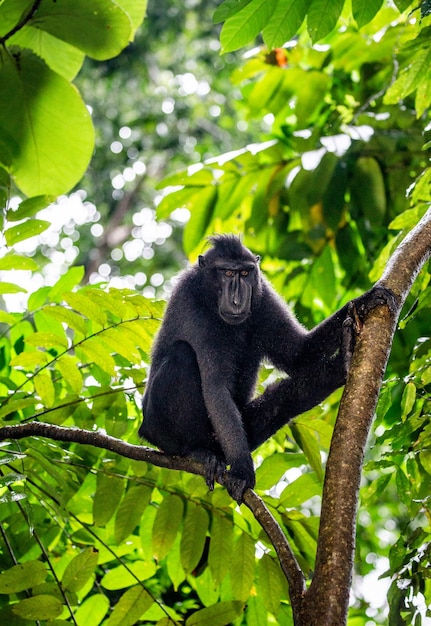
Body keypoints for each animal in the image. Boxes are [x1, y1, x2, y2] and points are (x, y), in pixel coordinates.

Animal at [141, 234, 394, 502]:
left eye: (244, 273)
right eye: (227, 273)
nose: (237, 299)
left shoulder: (263, 294)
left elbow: (298, 354)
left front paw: (366, 300)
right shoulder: (193, 305)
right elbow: (216, 387)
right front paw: (242, 470)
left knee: (282, 403)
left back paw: (344, 362)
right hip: (160, 428)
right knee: (182, 354)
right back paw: (196, 452)